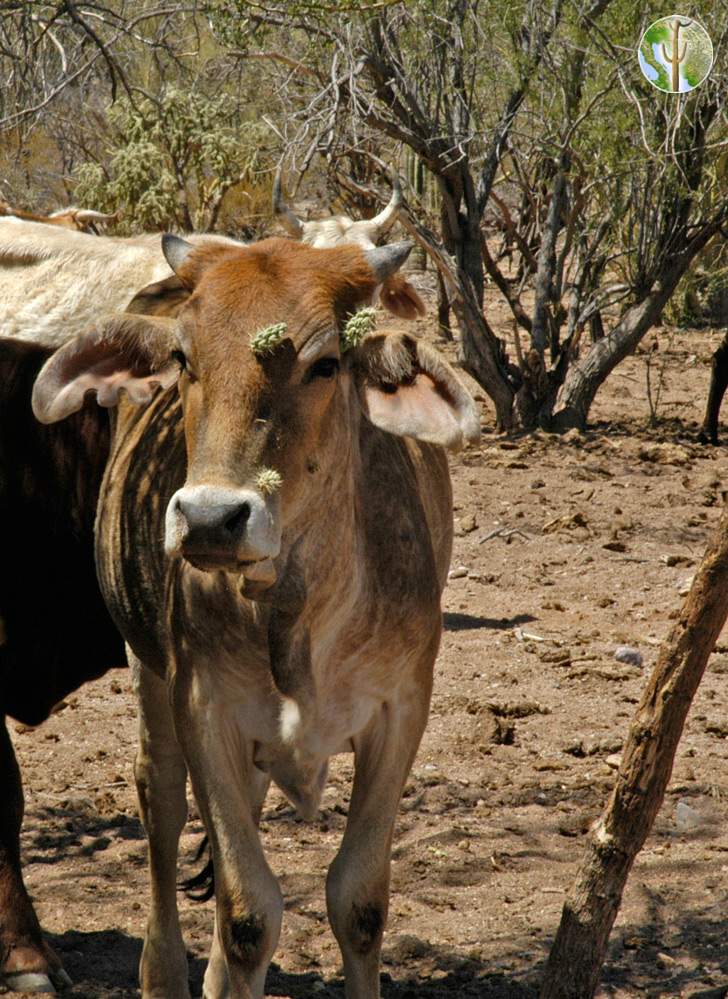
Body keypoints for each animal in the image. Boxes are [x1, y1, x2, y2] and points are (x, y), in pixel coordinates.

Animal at [34, 236, 480, 999]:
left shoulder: (401, 709)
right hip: (148, 670)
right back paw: (163, 970)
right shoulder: (203, 704)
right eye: (184, 357)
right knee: (161, 801)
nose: (212, 517)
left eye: (326, 363)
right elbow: (248, 912)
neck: (296, 614)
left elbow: (358, 901)